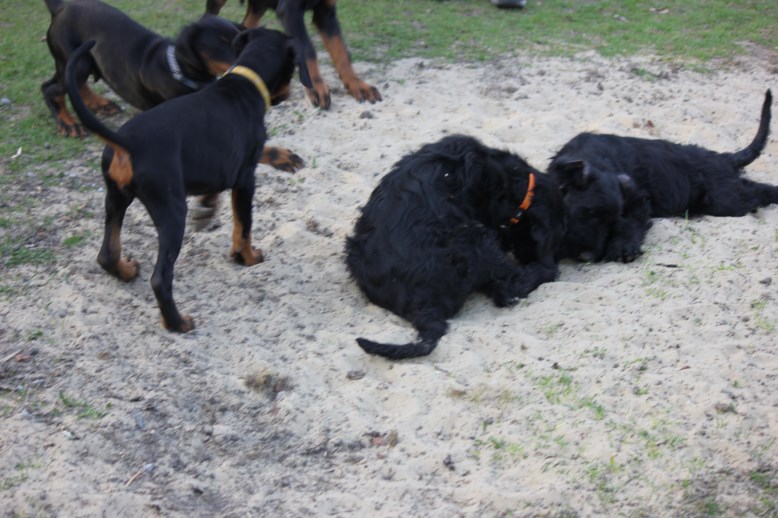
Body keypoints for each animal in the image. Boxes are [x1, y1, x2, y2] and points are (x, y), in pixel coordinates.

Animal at [41, 0, 236, 138]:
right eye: (222, 44)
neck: (179, 72)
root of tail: (61, 7)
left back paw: (100, 104)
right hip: (77, 60)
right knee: (50, 89)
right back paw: (69, 124)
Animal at [65, 28, 310, 336]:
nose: (288, 93)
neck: (245, 81)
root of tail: (127, 143)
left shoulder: (219, 167)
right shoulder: (245, 179)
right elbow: (244, 226)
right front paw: (247, 257)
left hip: (116, 198)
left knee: (107, 253)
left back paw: (127, 272)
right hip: (171, 209)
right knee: (160, 278)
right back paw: (178, 323)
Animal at [548, 88, 772, 264]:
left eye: (608, 220)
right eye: (590, 214)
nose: (589, 257)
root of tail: (724, 158)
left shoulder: (638, 200)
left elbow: (630, 223)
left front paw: (623, 247)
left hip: (724, 200)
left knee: (759, 192)